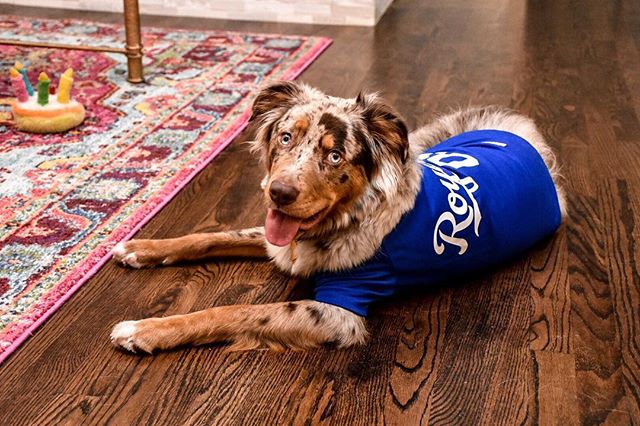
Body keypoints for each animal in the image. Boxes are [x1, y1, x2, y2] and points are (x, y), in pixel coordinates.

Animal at [110, 81, 564, 354]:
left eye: (334, 156)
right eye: (285, 137)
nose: (279, 193)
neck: (347, 217)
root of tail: (525, 135)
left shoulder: (337, 313)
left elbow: (233, 311)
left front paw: (145, 330)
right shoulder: (277, 238)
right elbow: (208, 237)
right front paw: (139, 247)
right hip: (426, 140)